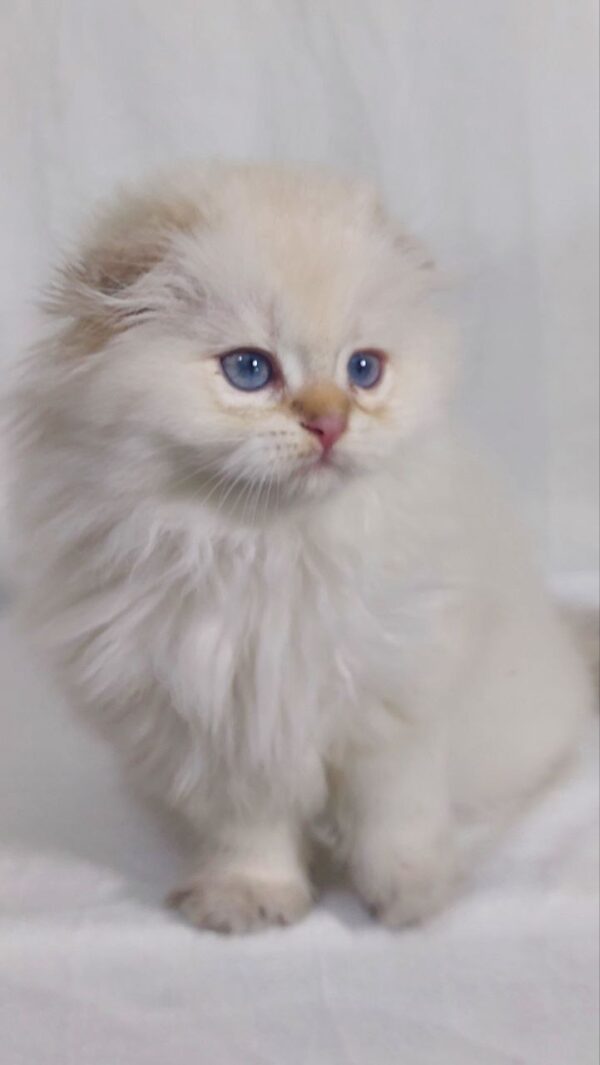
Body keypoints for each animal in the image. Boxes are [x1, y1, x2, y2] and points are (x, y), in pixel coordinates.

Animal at [10, 159, 596, 932]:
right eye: (250, 370)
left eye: (364, 371)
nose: (329, 424)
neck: (266, 550)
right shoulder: (223, 730)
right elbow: (249, 834)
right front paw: (249, 900)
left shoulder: (392, 709)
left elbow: (396, 821)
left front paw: (413, 899)